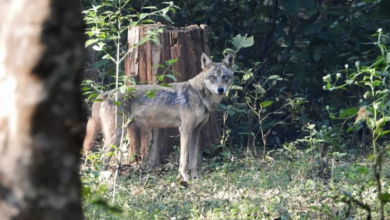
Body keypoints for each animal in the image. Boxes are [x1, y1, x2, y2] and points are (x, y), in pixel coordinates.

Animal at [82, 52, 235, 181]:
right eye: (212, 77)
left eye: (225, 77)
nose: (220, 89)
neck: (199, 95)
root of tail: (106, 93)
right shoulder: (185, 130)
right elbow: (184, 160)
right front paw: (185, 178)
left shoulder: (195, 131)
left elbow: (192, 161)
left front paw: (195, 178)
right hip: (116, 136)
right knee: (100, 156)